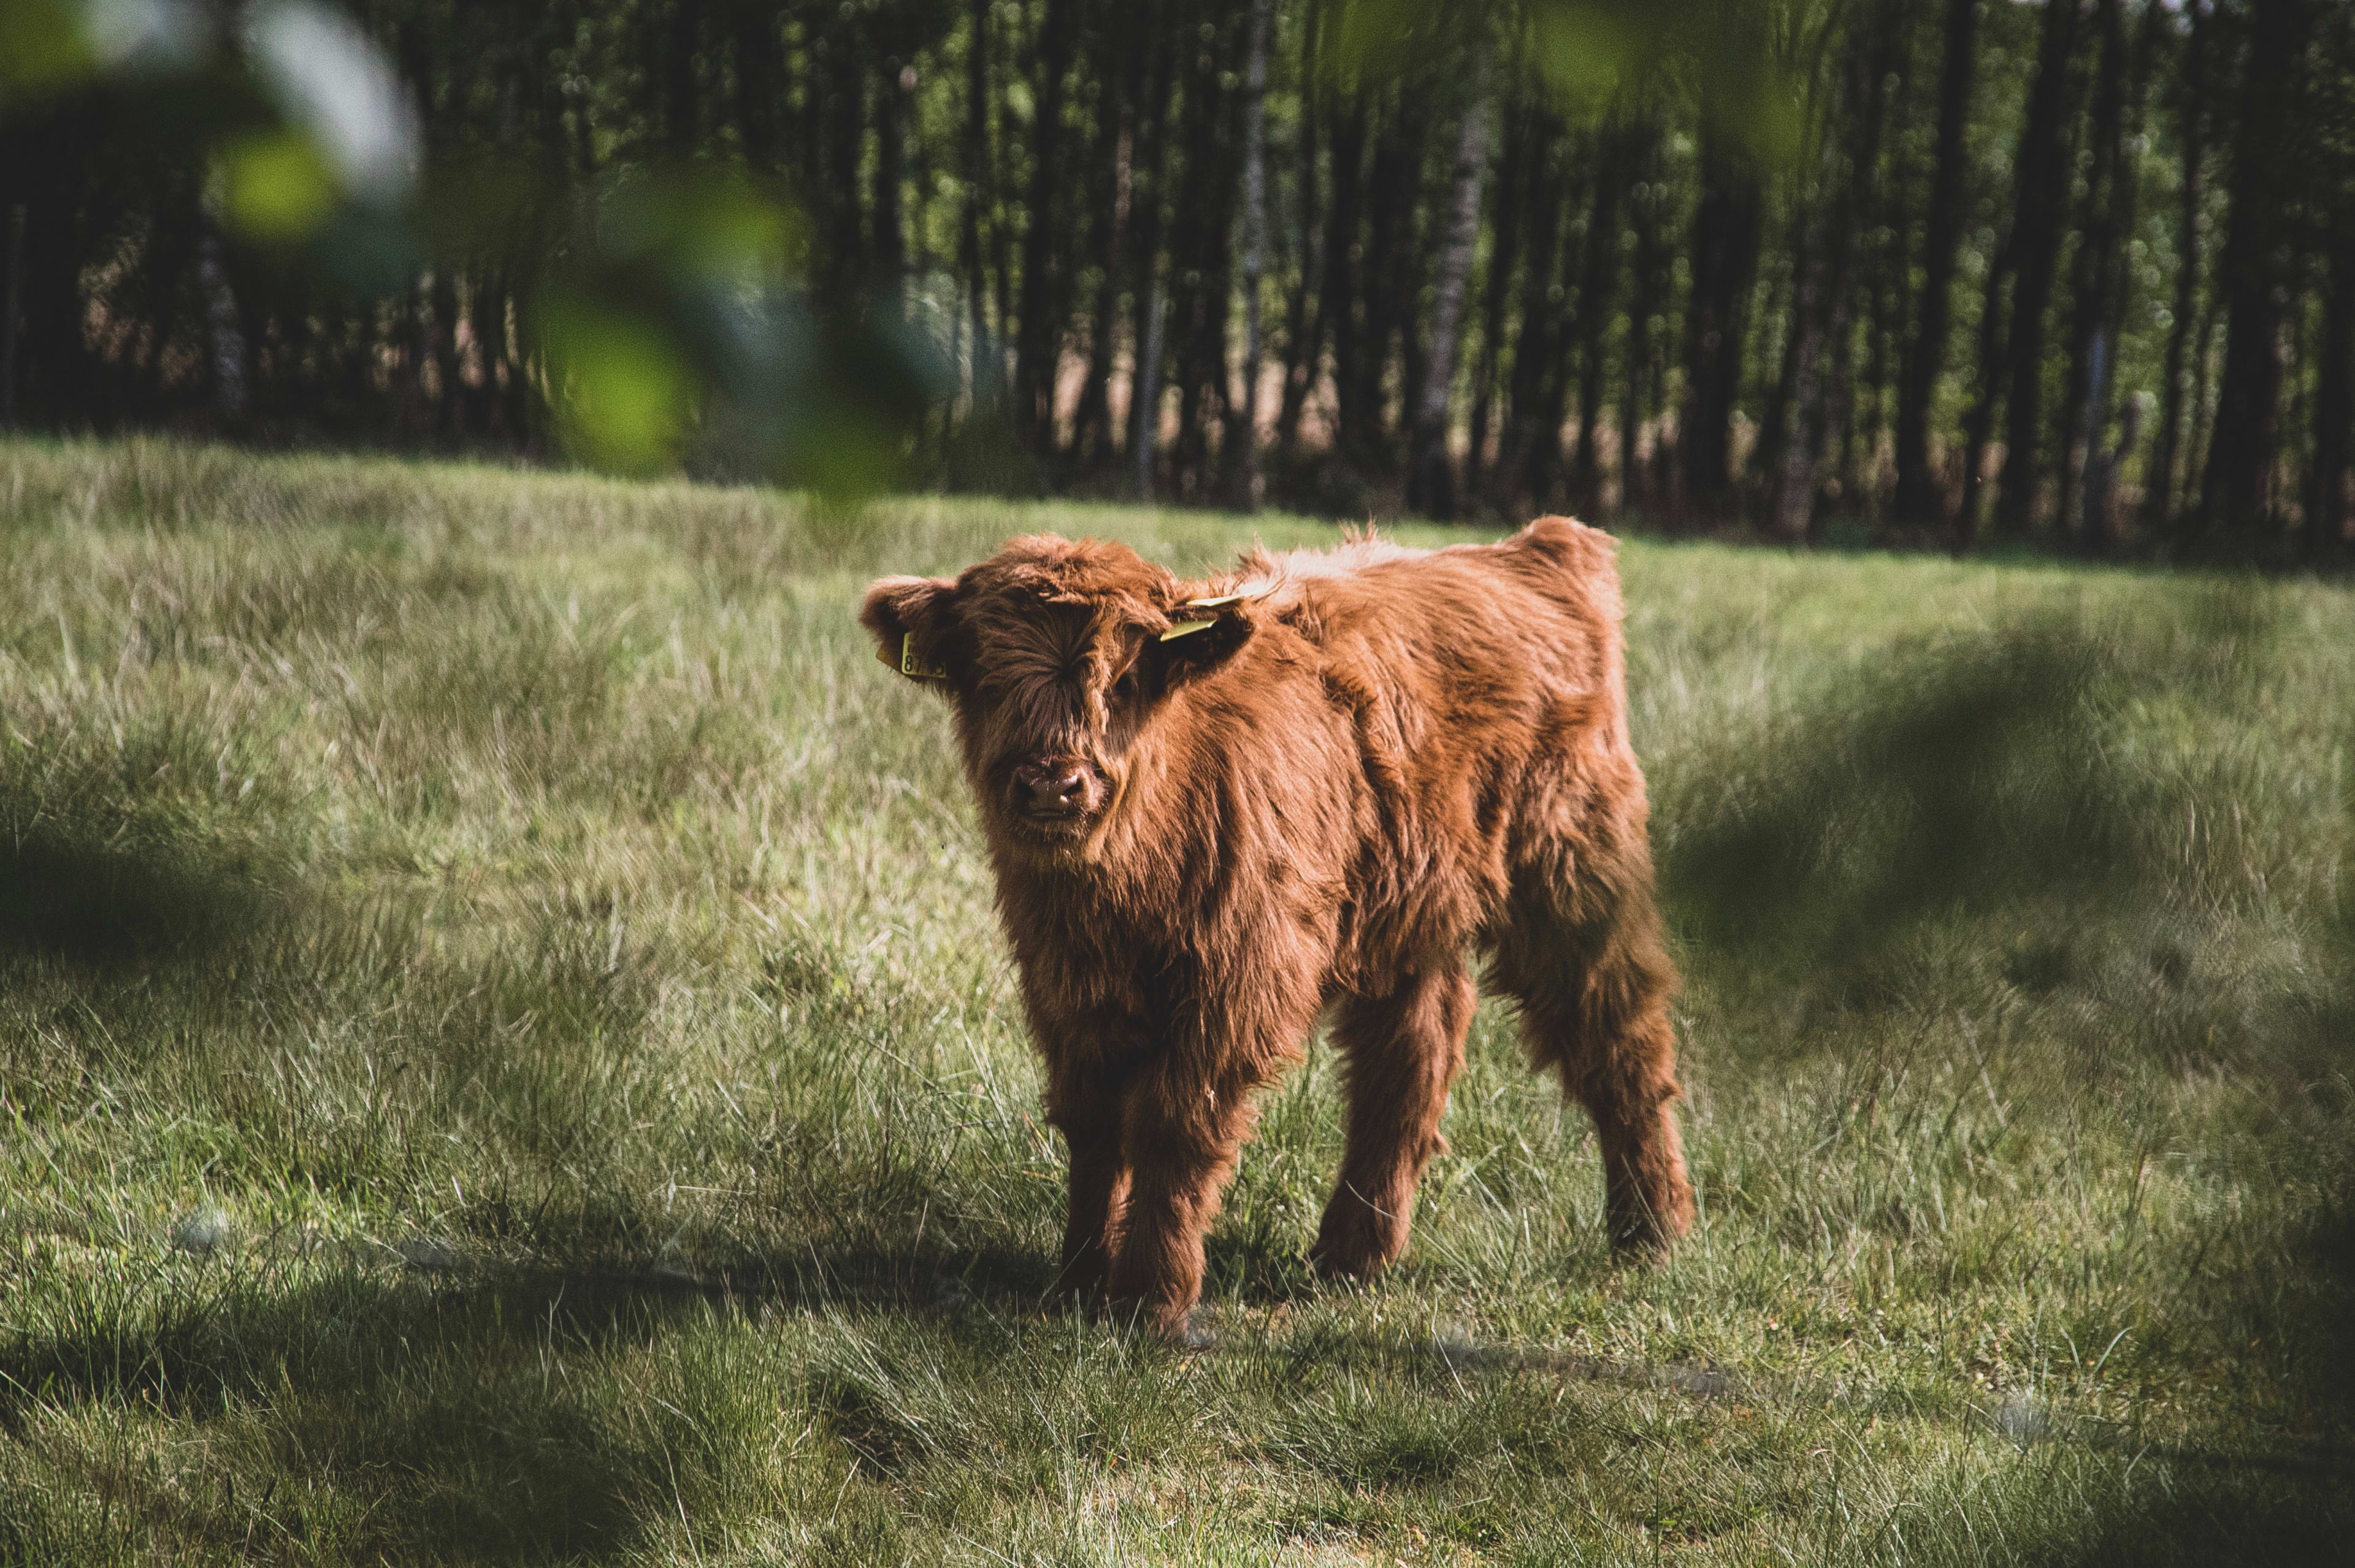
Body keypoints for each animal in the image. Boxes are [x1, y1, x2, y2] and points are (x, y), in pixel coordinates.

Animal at [867, 513, 1695, 1328]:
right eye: (988, 679)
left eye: (1125, 677)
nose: (1052, 784)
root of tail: (1533, 548)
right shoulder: (1067, 982)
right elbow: (1093, 1122)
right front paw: (1078, 1280)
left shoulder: (1237, 978)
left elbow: (1174, 1121)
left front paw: (1150, 1298)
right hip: (1405, 910)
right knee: (1411, 1058)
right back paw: (1354, 1255)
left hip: (1574, 869)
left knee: (1618, 1034)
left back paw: (1650, 1233)